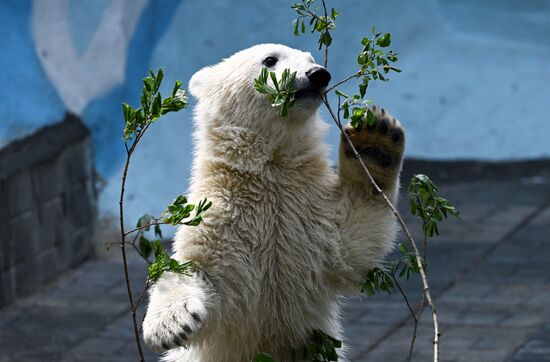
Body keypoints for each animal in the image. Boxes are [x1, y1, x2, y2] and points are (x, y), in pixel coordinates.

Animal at [144, 44, 408, 362]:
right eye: (270, 59)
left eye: (310, 59)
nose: (318, 74)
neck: (271, 171)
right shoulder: (220, 214)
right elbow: (190, 266)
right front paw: (171, 325)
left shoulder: (310, 213)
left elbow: (353, 241)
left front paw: (376, 142)